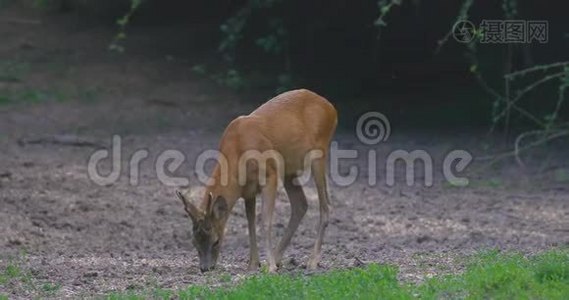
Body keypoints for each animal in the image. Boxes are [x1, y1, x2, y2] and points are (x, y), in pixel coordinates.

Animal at [176, 88, 338, 272]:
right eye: (194, 242)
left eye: (216, 241)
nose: (205, 268)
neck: (238, 151)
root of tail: (330, 107)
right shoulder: (248, 190)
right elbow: (250, 223)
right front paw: (254, 263)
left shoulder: (270, 175)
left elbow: (265, 220)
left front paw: (270, 267)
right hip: (289, 170)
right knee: (300, 204)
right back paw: (279, 257)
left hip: (319, 153)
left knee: (325, 206)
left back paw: (312, 261)